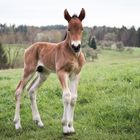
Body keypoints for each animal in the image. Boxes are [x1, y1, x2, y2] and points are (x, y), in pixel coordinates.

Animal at [13, 7, 85, 135]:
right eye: (68, 29)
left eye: (81, 28)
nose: (76, 46)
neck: (73, 54)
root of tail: (27, 49)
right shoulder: (62, 72)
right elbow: (67, 96)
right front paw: (65, 127)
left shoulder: (75, 74)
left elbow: (73, 98)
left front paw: (71, 127)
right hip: (28, 70)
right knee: (18, 91)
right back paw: (17, 124)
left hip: (43, 73)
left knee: (31, 90)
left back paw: (38, 121)